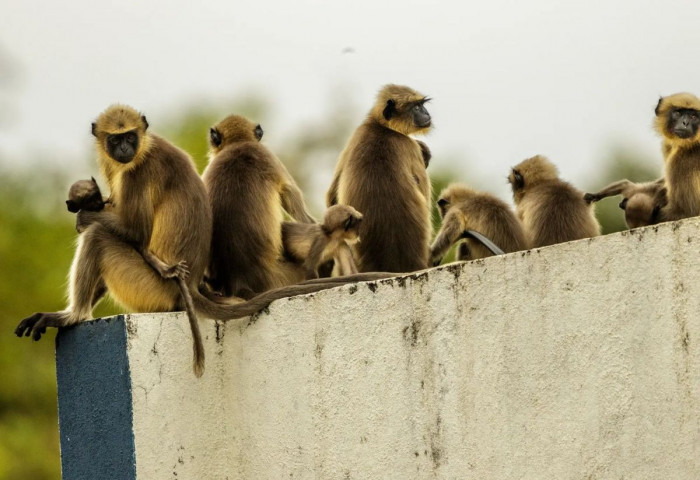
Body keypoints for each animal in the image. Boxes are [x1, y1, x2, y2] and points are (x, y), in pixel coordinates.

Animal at [326, 85, 432, 274]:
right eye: (416, 107)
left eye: (422, 105)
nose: (426, 113)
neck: (382, 129)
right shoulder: (409, 146)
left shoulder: (357, 134)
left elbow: (332, 198)